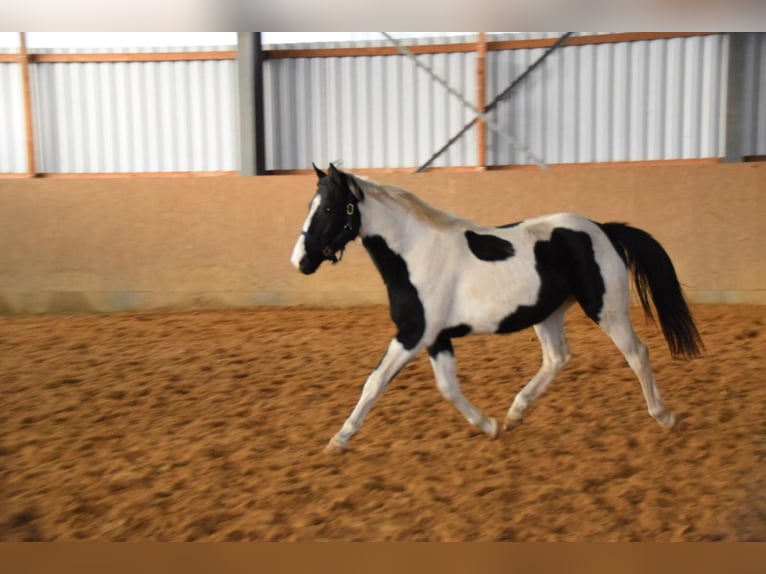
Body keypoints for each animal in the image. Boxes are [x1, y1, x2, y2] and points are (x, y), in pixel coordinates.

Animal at [292, 164, 704, 456]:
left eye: (328, 207)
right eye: (310, 206)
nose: (301, 261)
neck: (414, 253)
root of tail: (603, 228)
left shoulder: (413, 334)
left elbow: (375, 382)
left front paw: (339, 439)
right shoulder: (436, 338)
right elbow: (447, 387)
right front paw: (490, 426)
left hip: (607, 309)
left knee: (637, 353)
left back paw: (665, 416)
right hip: (548, 314)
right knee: (557, 357)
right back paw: (516, 412)